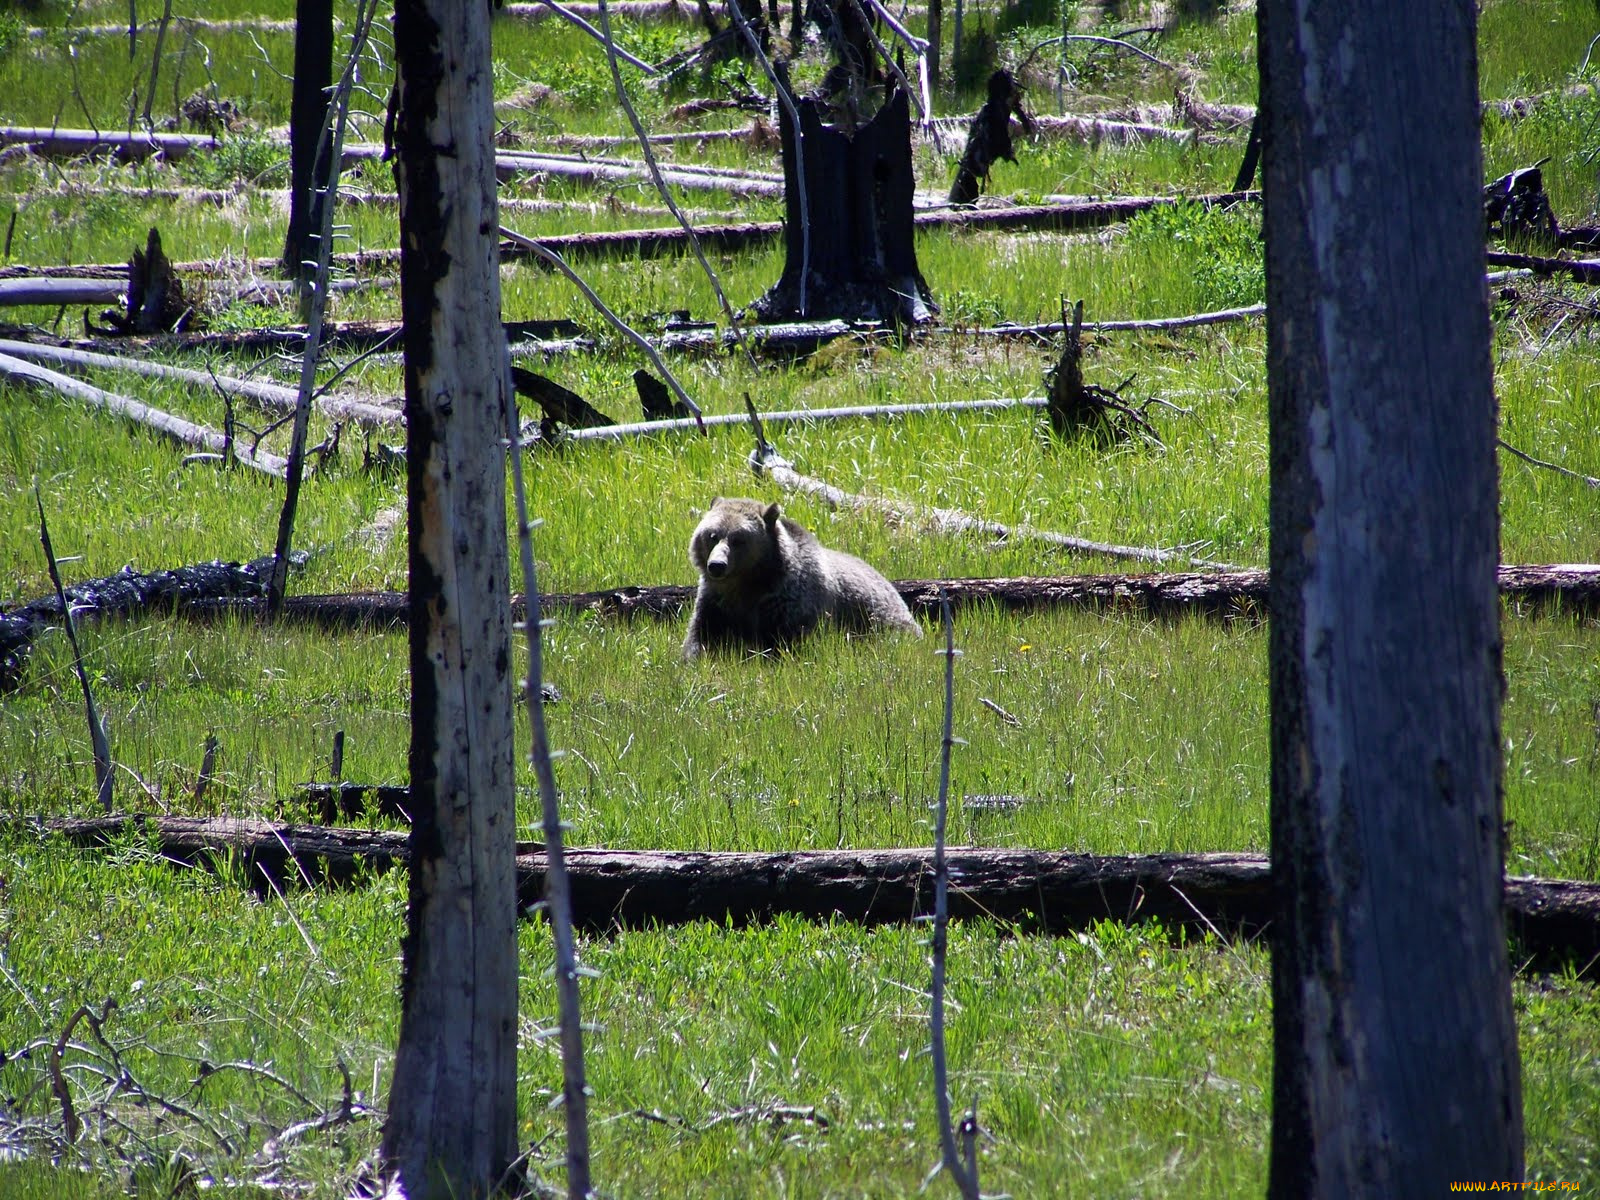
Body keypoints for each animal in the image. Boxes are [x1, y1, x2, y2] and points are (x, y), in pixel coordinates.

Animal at [681, 502, 921, 662]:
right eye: (712, 535)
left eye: (738, 539)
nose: (717, 565)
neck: (749, 583)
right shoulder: (716, 601)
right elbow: (701, 635)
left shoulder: (789, 601)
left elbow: (784, 642)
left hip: (880, 620)